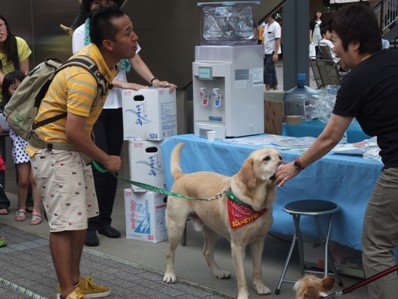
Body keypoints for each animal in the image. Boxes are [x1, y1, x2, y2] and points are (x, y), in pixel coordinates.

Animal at [163, 144, 282, 299]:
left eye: (280, 156)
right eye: (266, 158)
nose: (283, 163)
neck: (256, 203)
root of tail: (182, 176)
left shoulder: (258, 241)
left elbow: (258, 269)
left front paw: (260, 286)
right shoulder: (237, 246)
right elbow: (241, 276)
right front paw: (243, 294)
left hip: (212, 230)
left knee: (207, 252)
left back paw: (218, 272)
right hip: (176, 227)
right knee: (170, 252)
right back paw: (169, 274)